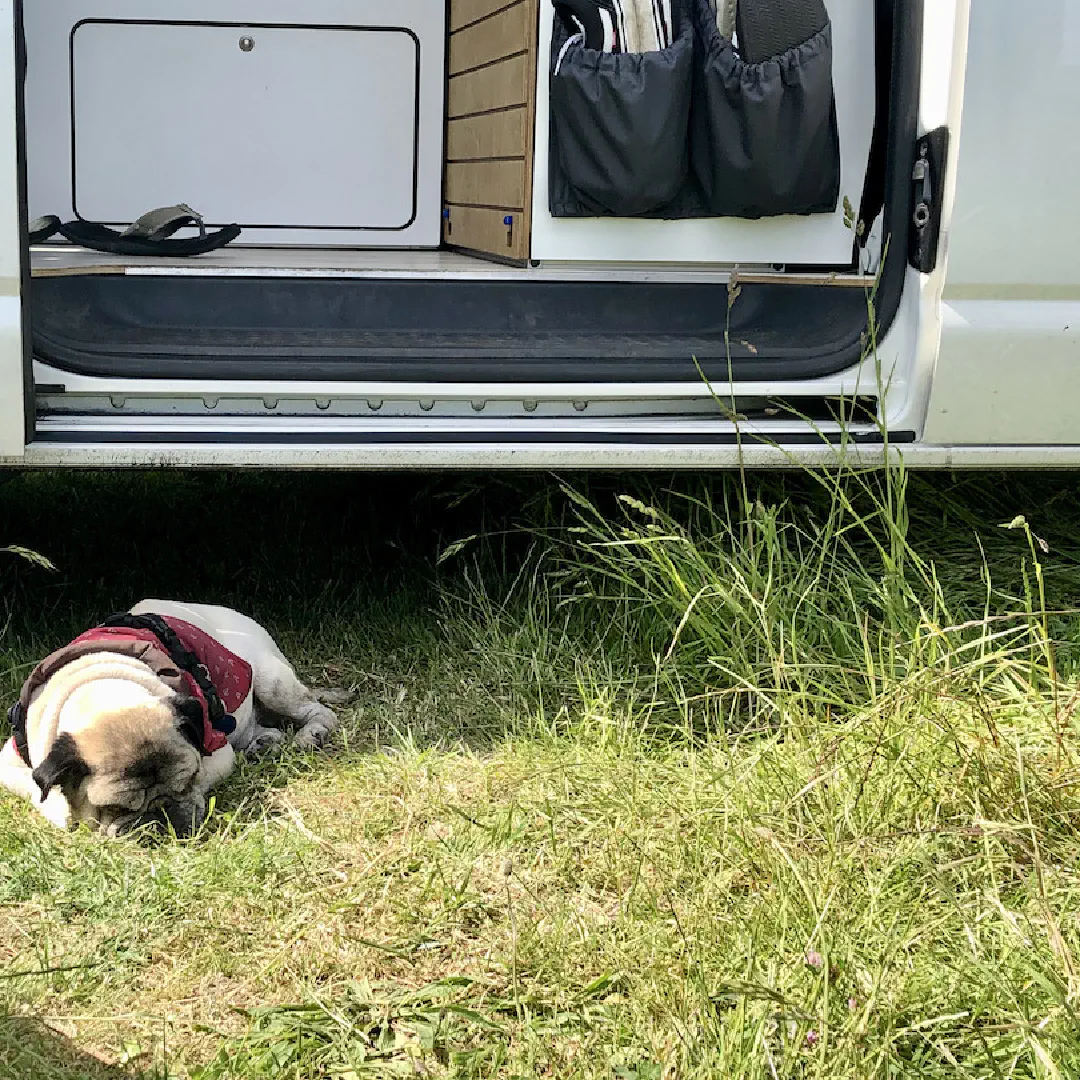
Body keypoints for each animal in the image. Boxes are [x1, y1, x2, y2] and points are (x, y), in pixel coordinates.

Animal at [0, 604, 345, 838]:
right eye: (117, 808)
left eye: (189, 781)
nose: (161, 811)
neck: (101, 692)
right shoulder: (11, 760)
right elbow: (37, 791)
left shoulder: (217, 751)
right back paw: (263, 743)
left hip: (270, 681)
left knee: (317, 710)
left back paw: (311, 734)